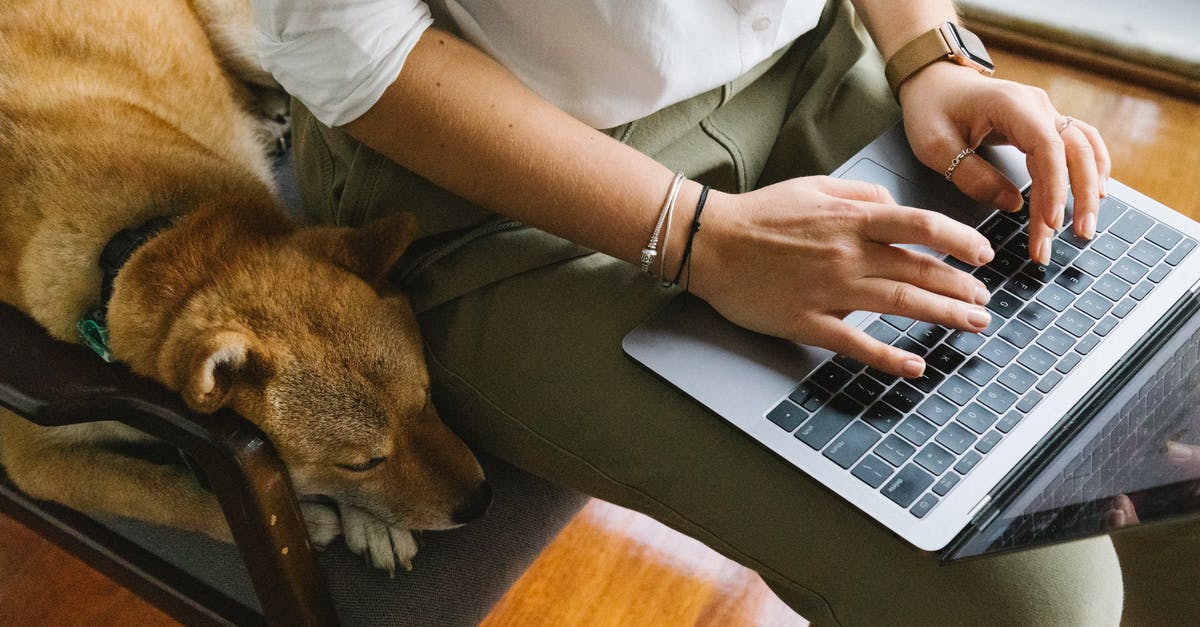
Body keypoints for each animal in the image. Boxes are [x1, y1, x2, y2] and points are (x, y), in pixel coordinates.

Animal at [1, 0, 487, 571]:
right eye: (361, 464)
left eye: (427, 400)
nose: (480, 501)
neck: (140, 238)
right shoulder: (29, 459)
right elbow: (152, 491)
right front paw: (310, 520)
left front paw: (373, 525)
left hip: (257, 45)